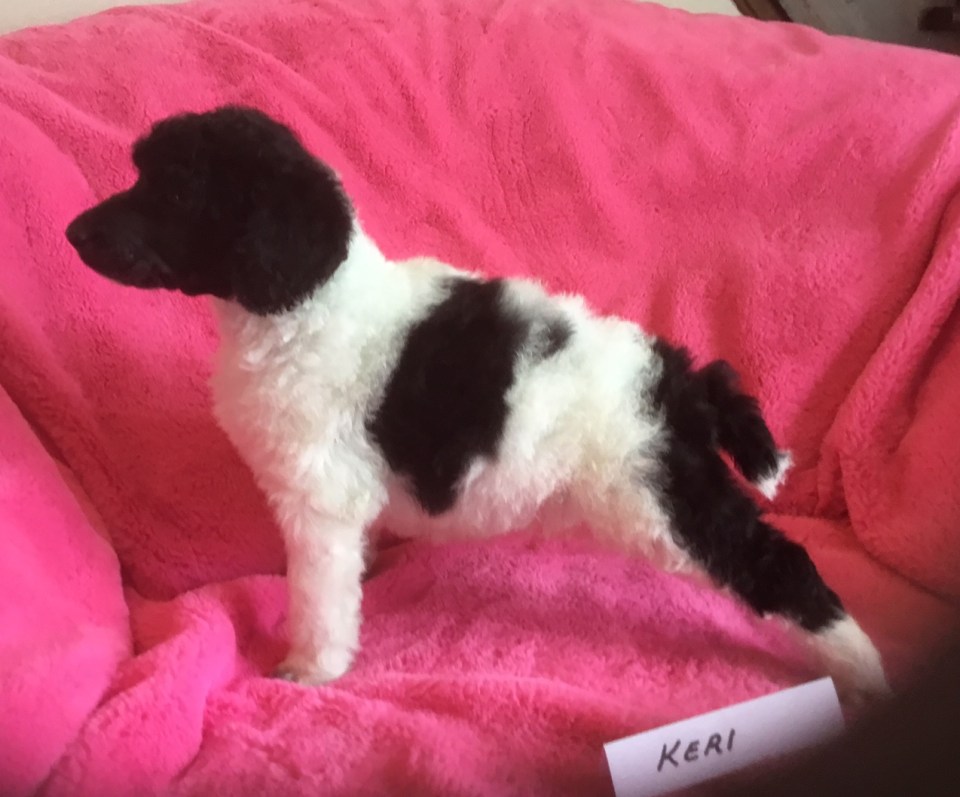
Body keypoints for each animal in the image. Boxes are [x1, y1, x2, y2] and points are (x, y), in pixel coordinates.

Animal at [65, 106, 889, 702]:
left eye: (175, 192)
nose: (72, 232)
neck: (307, 303)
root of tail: (676, 377)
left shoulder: (320, 499)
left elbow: (319, 593)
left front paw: (311, 667)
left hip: (665, 499)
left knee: (779, 563)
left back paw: (864, 672)